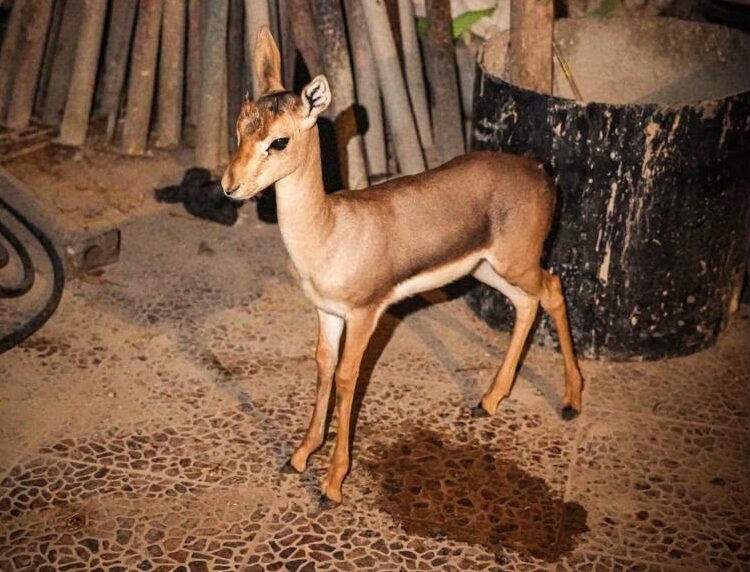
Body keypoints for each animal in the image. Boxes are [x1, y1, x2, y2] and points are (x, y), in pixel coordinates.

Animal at [221, 27, 583, 508]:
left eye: (279, 141)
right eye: (240, 127)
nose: (230, 186)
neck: (330, 232)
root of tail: (542, 172)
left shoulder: (365, 314)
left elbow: (347, 377)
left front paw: (332, 484)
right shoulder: (327, 312)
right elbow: (322, 365)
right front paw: (300, 455)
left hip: (518, 262)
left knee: (555, 289)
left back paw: (570, 402)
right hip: (487, 269)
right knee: (528, 304)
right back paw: (488, 400)